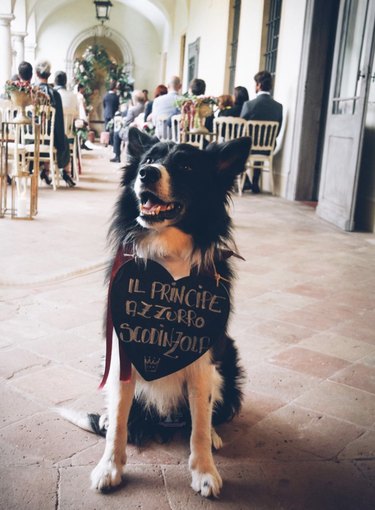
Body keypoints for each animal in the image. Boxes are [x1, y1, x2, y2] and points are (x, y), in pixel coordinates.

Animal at [61, 128, 253, 498]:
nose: (145, 174)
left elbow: (199, 426)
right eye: (149, 159)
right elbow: (118, 424)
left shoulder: (202, 358)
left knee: (207, 414)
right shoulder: (122, 348)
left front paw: (204, 471)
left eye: (187, 166)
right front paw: (110, 468)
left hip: (229, 358)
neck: (169, 259)